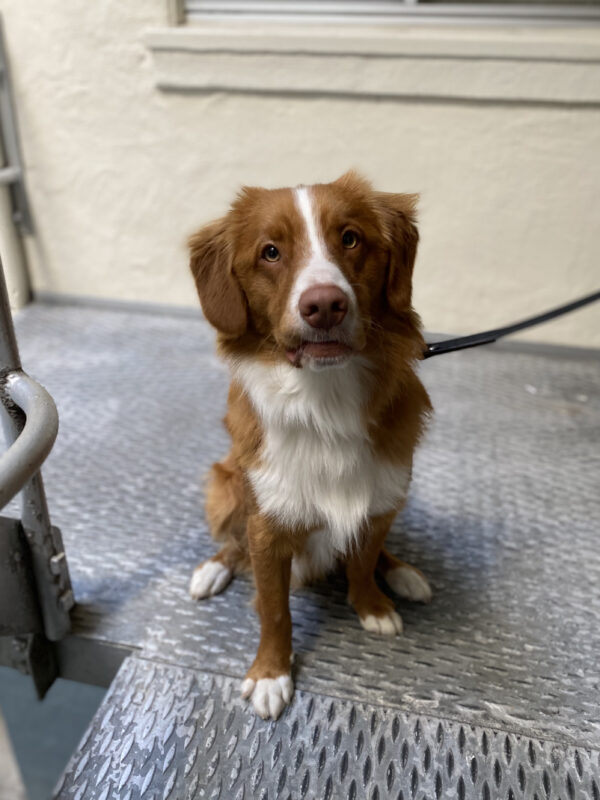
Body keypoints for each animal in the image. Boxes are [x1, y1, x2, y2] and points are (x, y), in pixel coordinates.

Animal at [188, 172, 432, 720]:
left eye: (350, 238)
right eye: (270, 252)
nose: (323, 305)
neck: (325, 402)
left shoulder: (379, 501)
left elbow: (362, 561)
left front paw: (372, 605)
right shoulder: (267, 526)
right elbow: (274, 609)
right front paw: (270, 673)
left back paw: (402, 574)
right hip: (224, 482)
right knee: (230, 542)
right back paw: (213, 570)